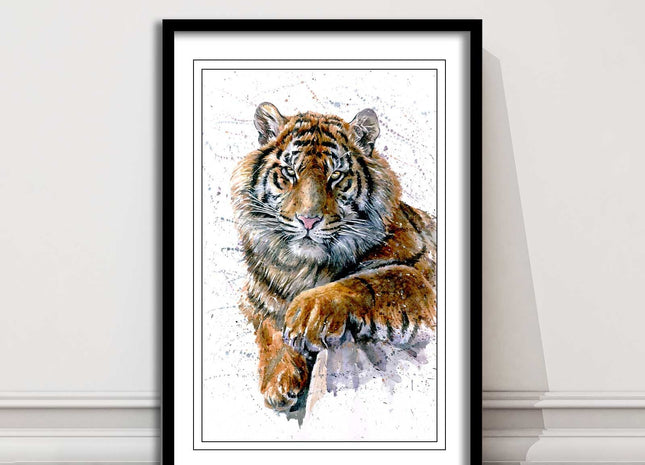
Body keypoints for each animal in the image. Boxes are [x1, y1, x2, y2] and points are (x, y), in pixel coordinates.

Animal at [231, 102, 436, 413]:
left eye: (336, 175)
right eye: (289, 172)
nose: (308, 220)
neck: (304, 268)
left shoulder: (421, 275)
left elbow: (373, 279)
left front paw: (307, 314)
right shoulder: (256, 297)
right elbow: (268, 326)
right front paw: (278, 381)